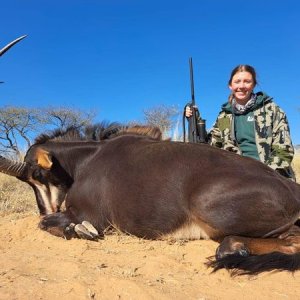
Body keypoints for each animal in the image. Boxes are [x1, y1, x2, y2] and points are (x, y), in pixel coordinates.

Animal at [0, 125, 300, 276]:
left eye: (37, 175)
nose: (46, 209)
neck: (85, 159)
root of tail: (291, 188)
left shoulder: (93, 216)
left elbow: (51, 225)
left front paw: (78, 230)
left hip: (208, 205)